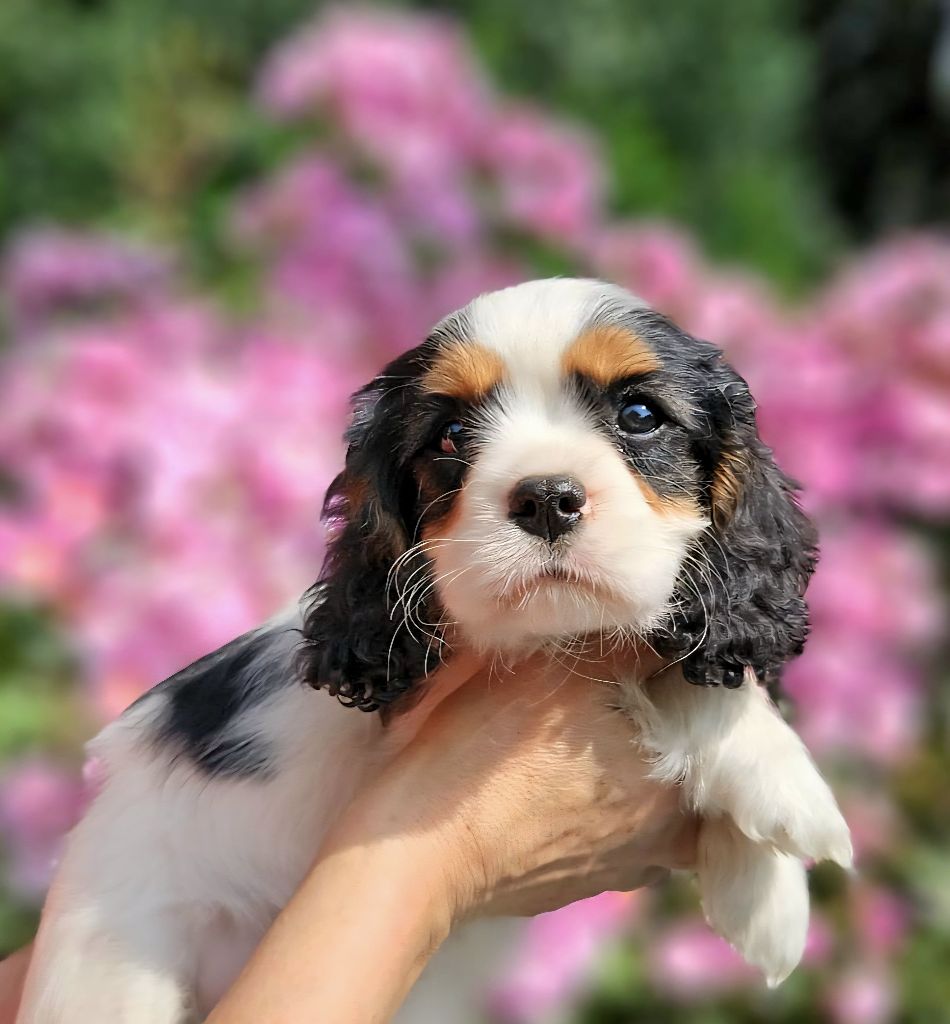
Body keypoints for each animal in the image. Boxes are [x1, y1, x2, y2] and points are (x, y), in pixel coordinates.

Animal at [18, 279, 852, 1022]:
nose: (545, 496)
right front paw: (787, 787)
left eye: (640, 414)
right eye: (450, 438)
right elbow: (647, 681)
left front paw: (764, 896)